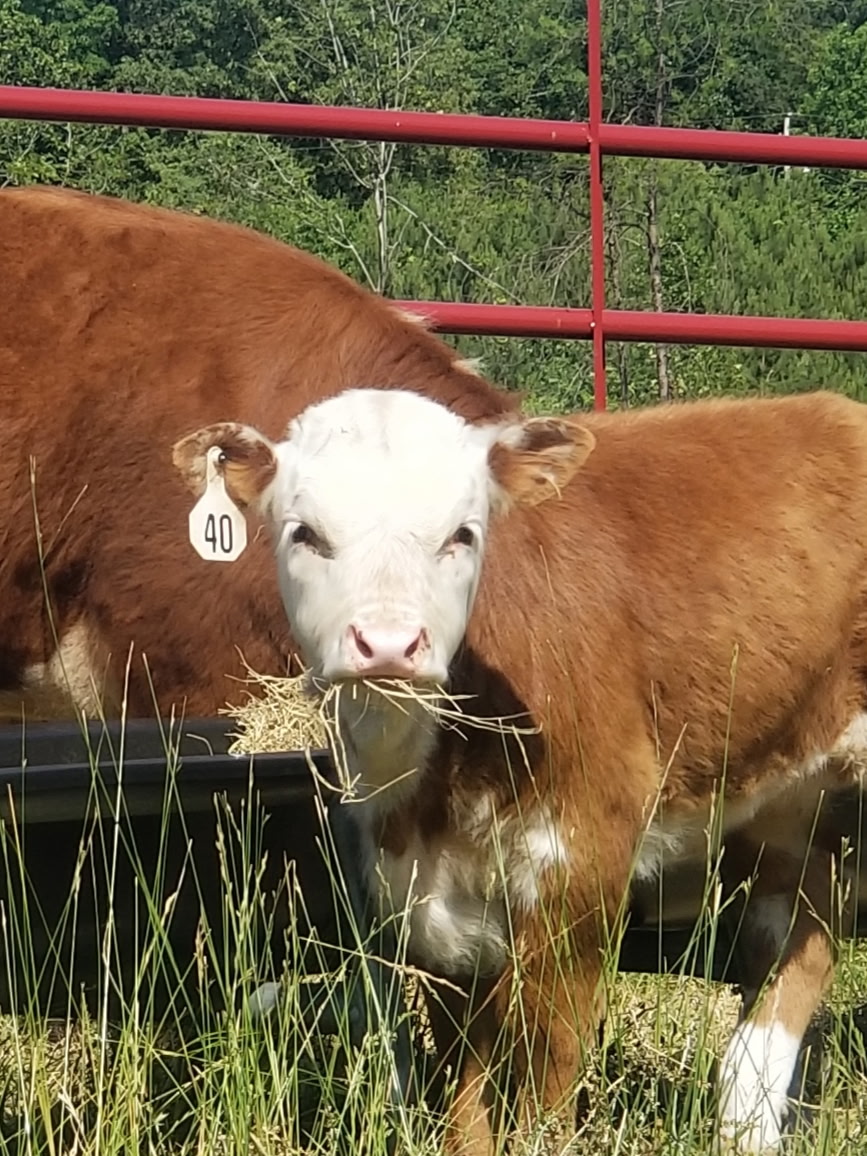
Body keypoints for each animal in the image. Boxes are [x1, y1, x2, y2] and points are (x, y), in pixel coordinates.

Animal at [176, 386, 867, 1155]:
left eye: (463, 533)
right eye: (305, 533)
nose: (388, 643)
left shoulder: (584, 861)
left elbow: (547, 1065)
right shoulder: (428, 897)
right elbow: (464, 1089)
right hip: (795, 805)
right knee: (795, 950)